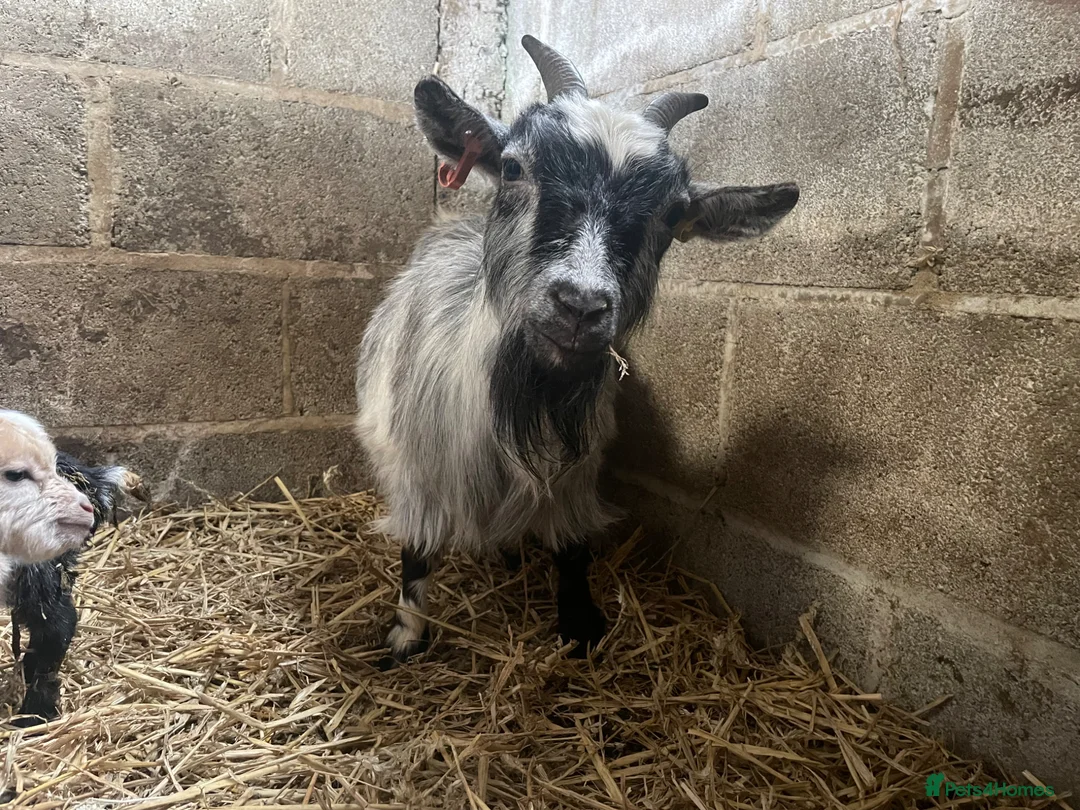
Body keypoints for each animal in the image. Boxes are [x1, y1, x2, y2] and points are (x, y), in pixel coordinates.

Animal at [354, 36, 799, 667]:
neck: (521, 395)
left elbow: (572, 549)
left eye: (671, 214)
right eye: (513, 166)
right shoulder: (418, 469)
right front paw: (405, 636)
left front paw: (582, 626)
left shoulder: (575, 474)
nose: (581, 305)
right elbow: (416, 554)